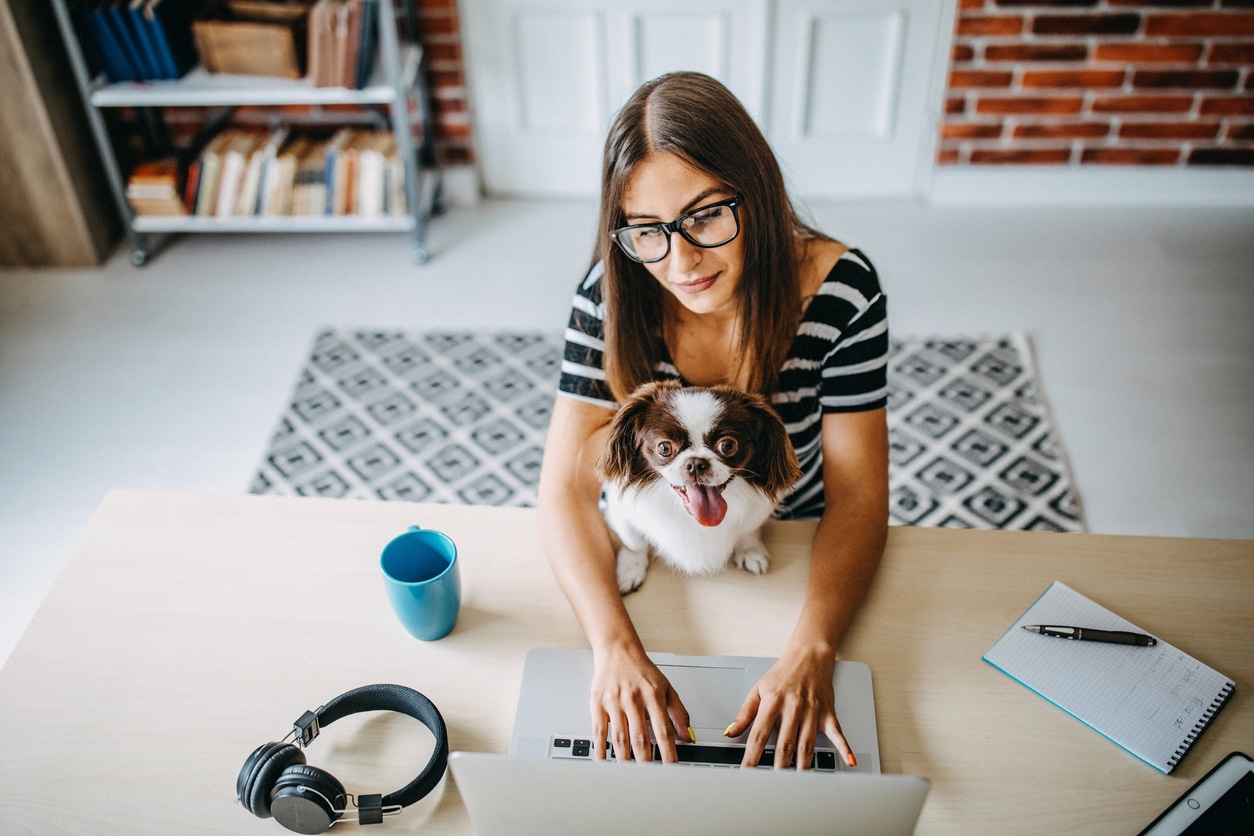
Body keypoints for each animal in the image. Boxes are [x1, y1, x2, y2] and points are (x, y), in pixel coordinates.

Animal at [596, 381, 802, 594]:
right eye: (664, 448)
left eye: (728, 445)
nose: (696, 463)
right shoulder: (621, 514)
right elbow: (633, 543)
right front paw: (630, 569)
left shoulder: (756, 514)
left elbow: (749, 532)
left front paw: (750, 551)